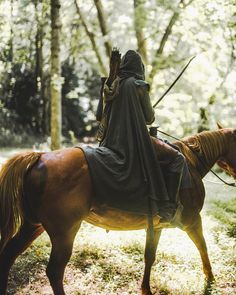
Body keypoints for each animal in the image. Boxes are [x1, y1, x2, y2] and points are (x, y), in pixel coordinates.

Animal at [0, 128, 235, 295]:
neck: (191, 164)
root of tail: (39, 157)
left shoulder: (156, 226)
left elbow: (149, 256)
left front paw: (146, 289)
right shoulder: (193, 221)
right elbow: (203, 248)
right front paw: (210, 280)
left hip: (33, 225)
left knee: (8, 256)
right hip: (64, 233)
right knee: (54, 272)